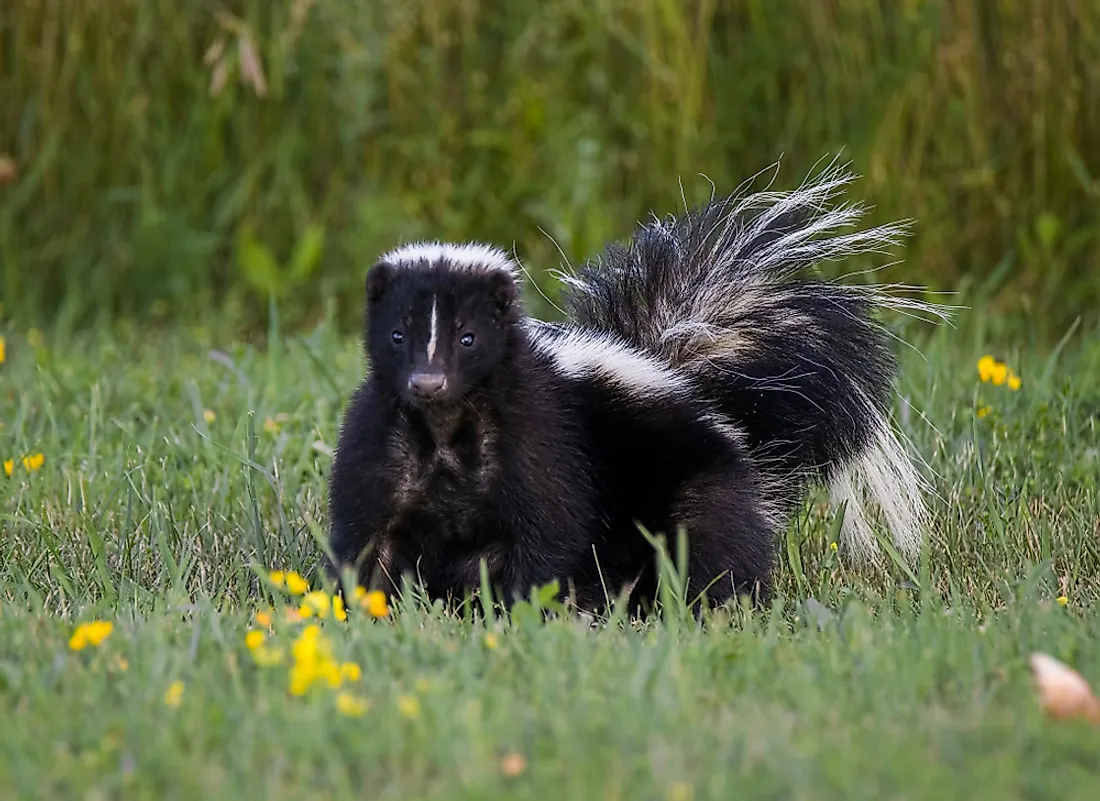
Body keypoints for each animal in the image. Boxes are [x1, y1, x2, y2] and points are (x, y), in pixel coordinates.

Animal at [323, 160, 937, 611]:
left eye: (468, 337)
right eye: (398, 334)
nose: (428, 382)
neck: (447, 429)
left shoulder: (543, 443)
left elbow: (543, 537)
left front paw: (514, 612)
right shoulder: (383, 445)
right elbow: (371, 540)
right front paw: (369, 610)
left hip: (693, 479)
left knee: (709, 544)